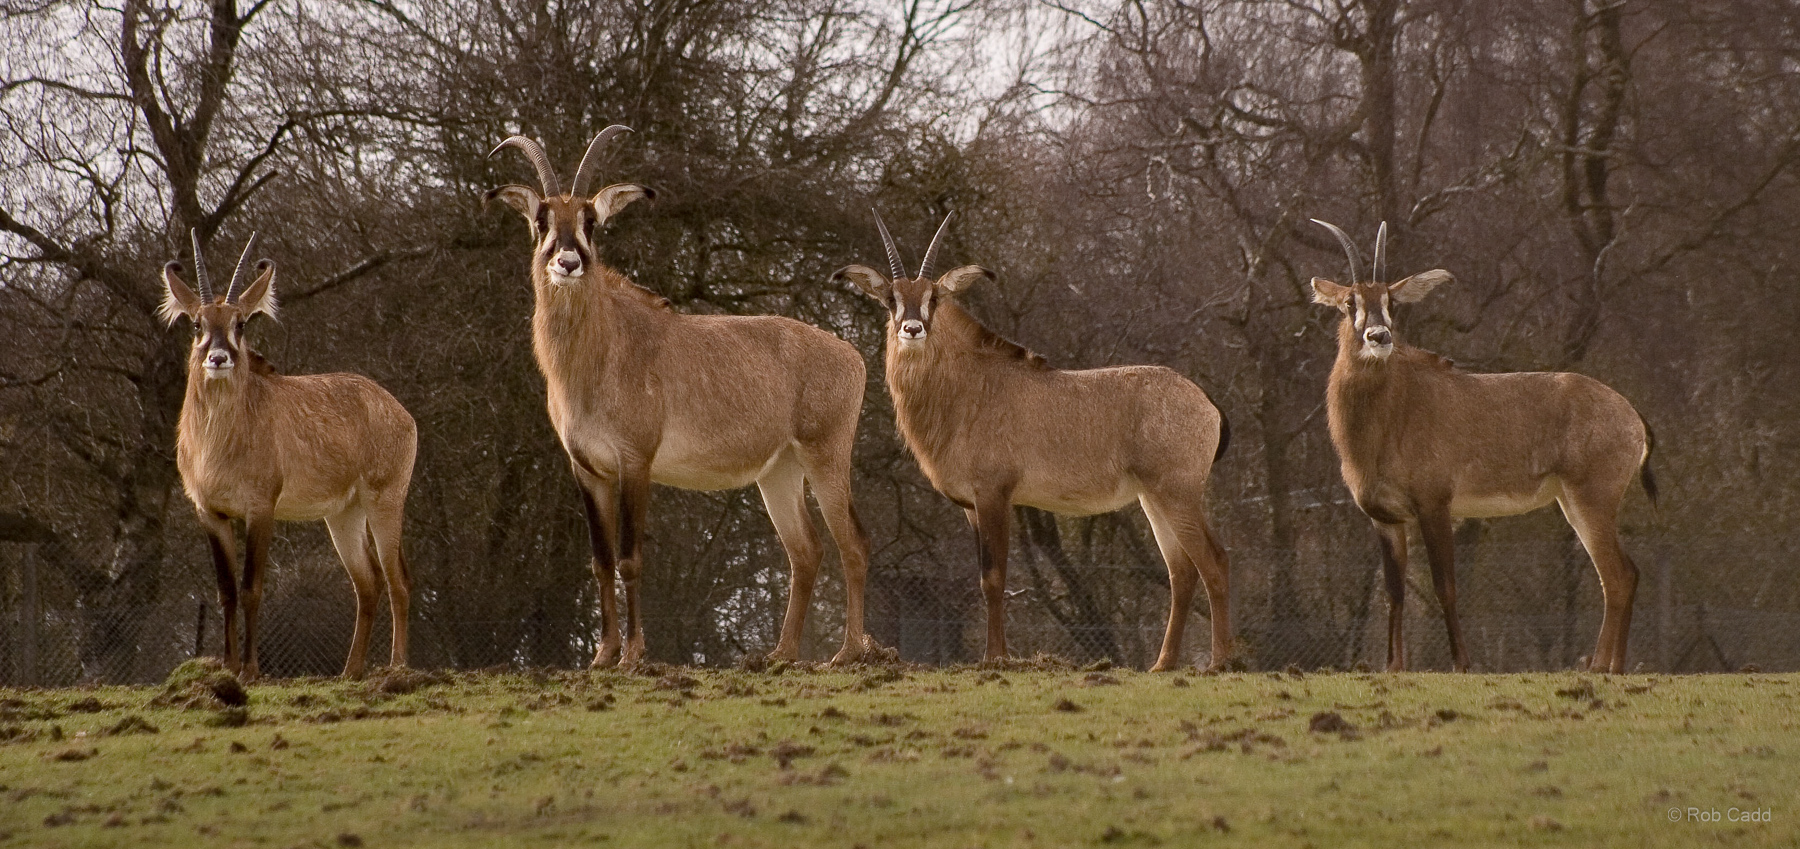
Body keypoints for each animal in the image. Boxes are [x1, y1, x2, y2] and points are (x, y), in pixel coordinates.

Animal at [160, 232, 416, 680]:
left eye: (240, 323)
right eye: (197, 324)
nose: (218, 358)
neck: (217, 442)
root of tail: (398, 410)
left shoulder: (261, 509)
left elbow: (251, 588)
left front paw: (250, 670)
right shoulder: (211, 513)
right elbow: (226, 591)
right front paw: (228, 667)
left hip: (385, 501)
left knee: (396, 579)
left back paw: (396, 667)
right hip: (343, 515)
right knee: (368, 582)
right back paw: (350, 672)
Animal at [486, 128, 873, 667]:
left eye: (590, 221)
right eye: (542, 218)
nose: (568, 262)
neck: (602, 349)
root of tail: (852, 356)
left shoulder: (635, 463)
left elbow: (629, 559)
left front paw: (633, 655)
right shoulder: (588, 470)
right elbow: (600, 562)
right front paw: (602, 656)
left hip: (826, 457)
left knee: (851, 543)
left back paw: (848, 653)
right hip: (779, 472)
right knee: (806, 549)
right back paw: (781, 654)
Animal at [835, 212, 1232, 671]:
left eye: (933, 297)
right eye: (891, 299)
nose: (912, 329)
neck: (969, 386)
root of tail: (1207, 405)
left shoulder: (995, 495)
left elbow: (993, 579)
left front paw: (996, 657)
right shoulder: (971, 507)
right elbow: (986, 578)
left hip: (1178, 494)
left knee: (1214, 561)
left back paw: (1221, 662)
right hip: (1154, 499)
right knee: (1182, 571)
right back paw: (1163, 664)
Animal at [1309, 220, 1657, 674]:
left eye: (1390, 301)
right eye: (1350, 302)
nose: (1379, 336)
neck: (1393, 410)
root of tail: (1632, 415)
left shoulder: (1435, 506)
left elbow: (1445, 586)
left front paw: (1462, 663)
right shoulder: (1385, 519)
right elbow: (1393, 593)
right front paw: (1393, 665)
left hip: (1592, 500)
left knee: (1616, 576)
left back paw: (1599, 666)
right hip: (1573, 503)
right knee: (1625, 574)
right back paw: (1611, 666)